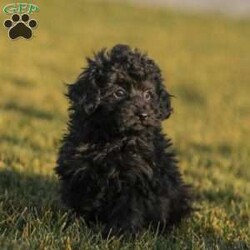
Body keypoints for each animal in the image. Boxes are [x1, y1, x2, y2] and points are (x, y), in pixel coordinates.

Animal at [55, 44, 191, 235]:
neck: (114, 138)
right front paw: (72, 226)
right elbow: (78, 202)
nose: (143, 114)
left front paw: (120, 234)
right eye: (119, 92)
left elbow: (128, 209)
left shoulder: (135, 178)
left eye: (148, 94)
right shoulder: (78, 170)